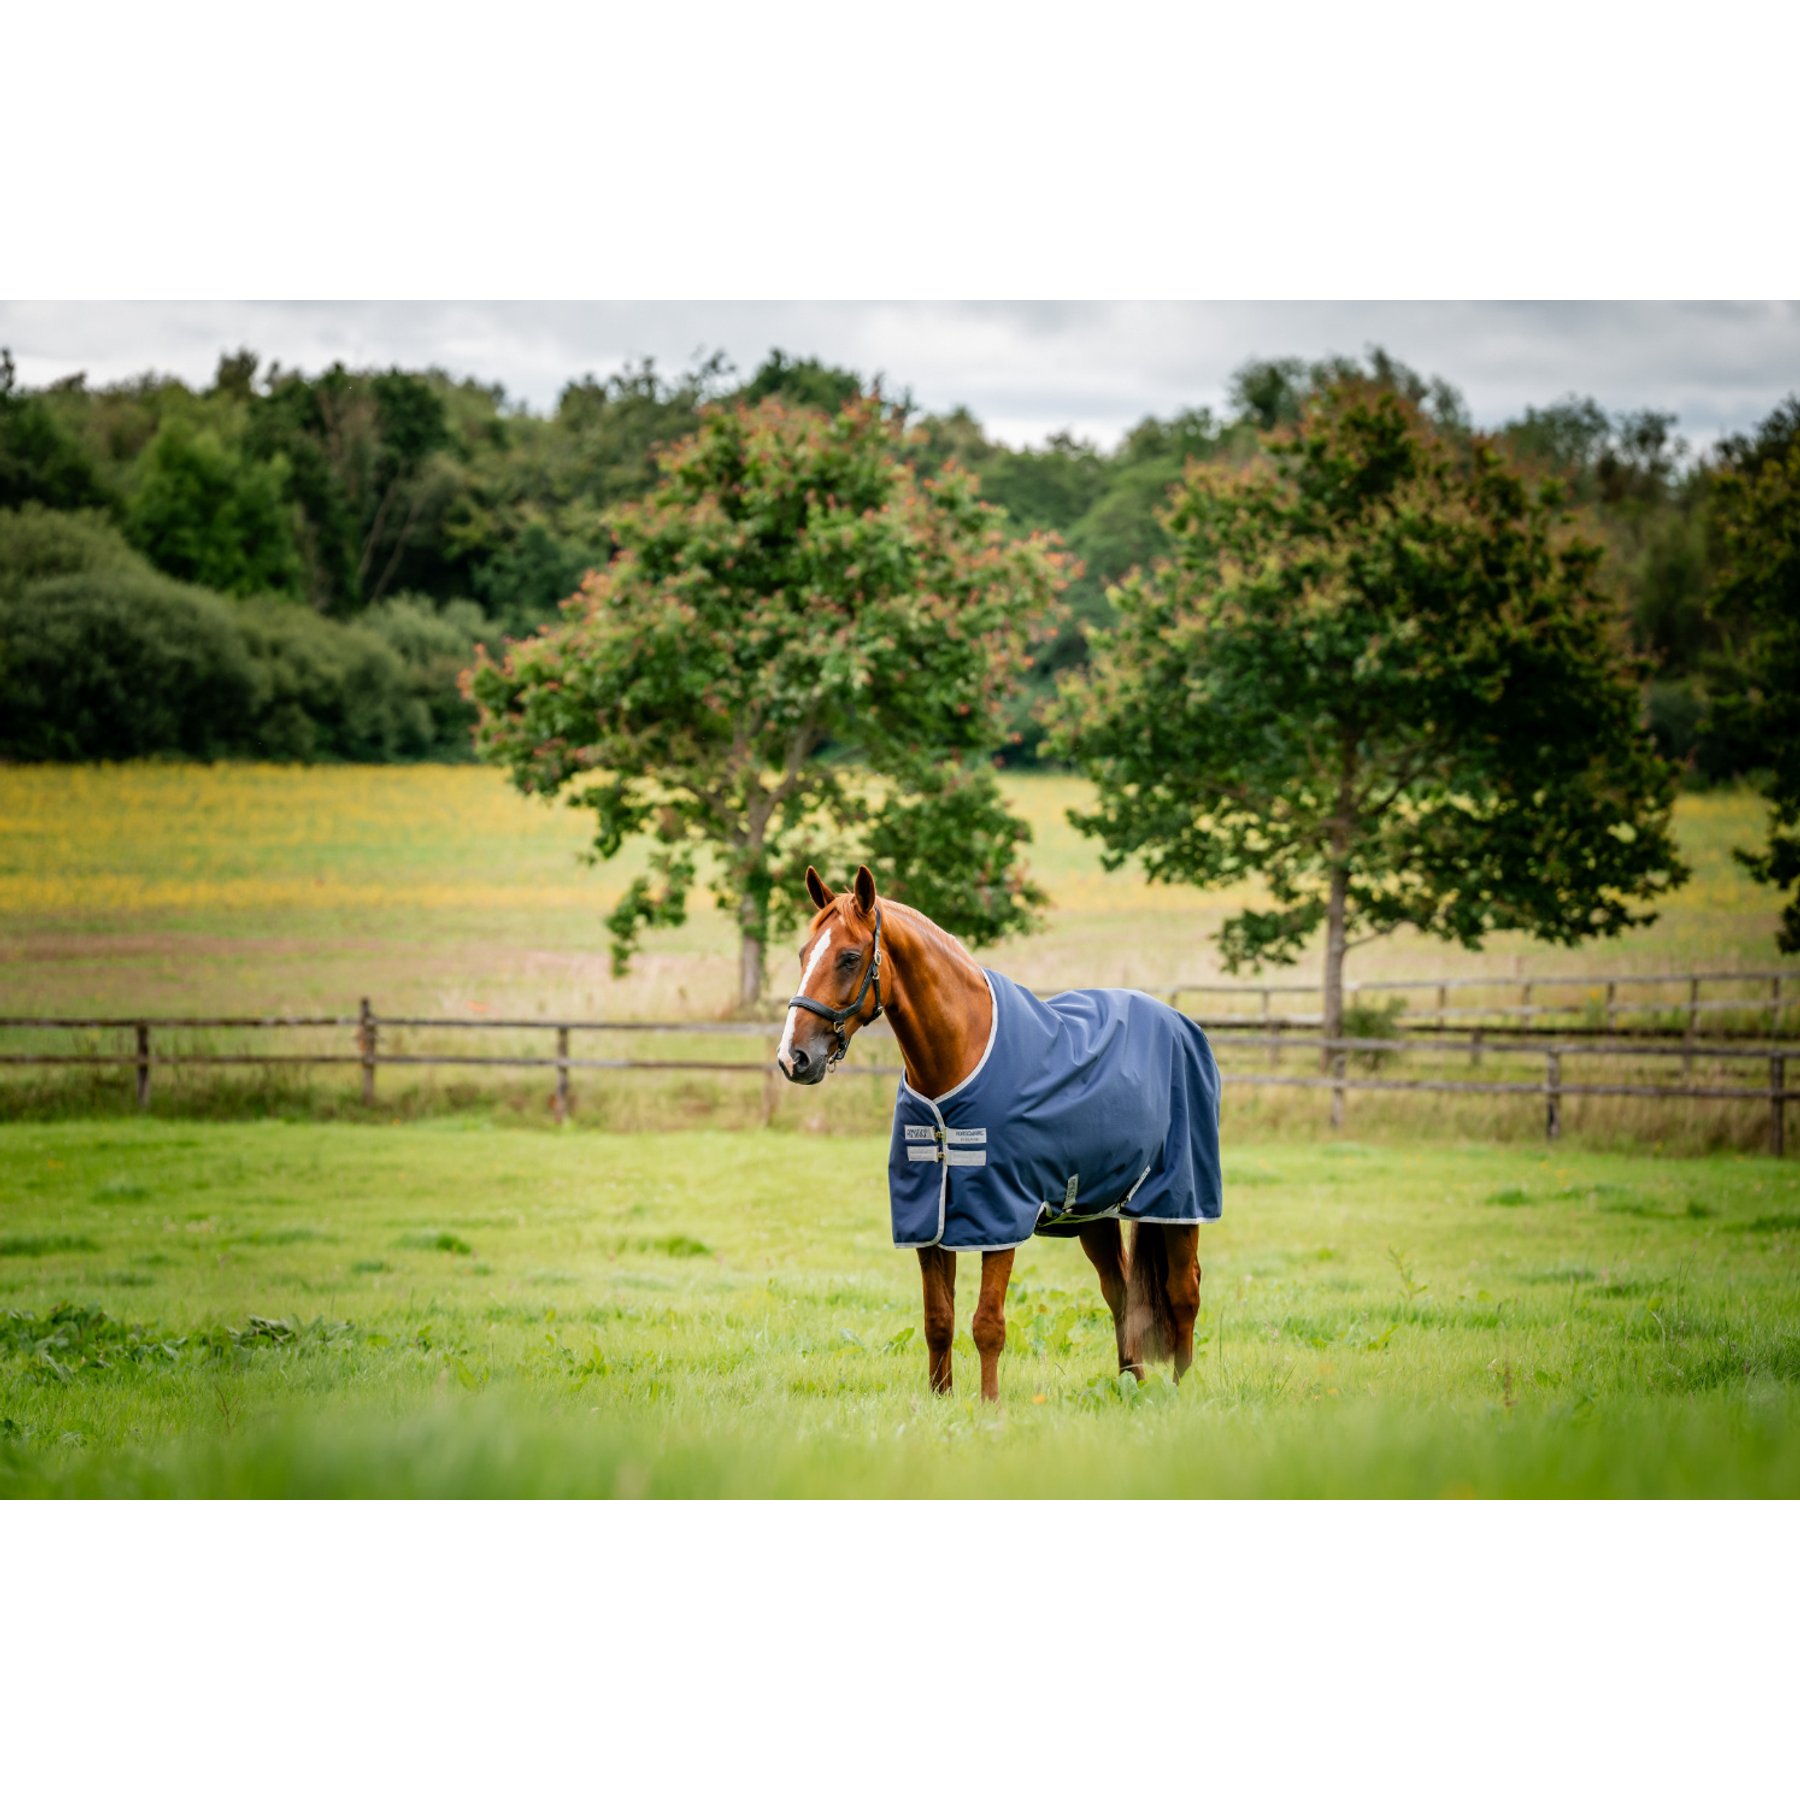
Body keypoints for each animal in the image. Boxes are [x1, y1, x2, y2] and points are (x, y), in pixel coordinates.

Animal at [776, 863, 1222, 1402]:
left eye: (849, 957)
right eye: (804, 954)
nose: (794, 1058)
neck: (958, 1060)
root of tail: (1181, 1024)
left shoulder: (999, 1215)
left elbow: (987, 1323)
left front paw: (989, 1406)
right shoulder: (928, 1219)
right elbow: (937, 1320)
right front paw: (940, 1400)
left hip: (1179, 1201)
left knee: (1184, 1291)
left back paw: (1181, 1388)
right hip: (1094, 1211)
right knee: (1119, 1293)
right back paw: (1130, 1384)